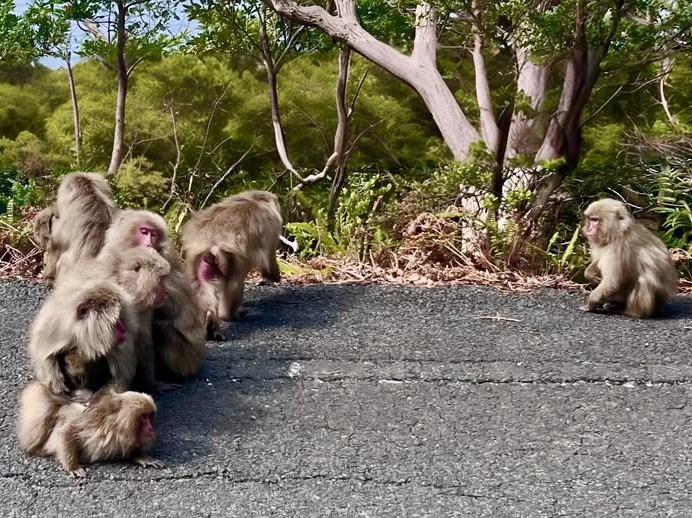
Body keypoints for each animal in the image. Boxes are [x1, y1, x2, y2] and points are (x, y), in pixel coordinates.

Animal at [17, 382, 162, 477]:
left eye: (150, 416)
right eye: (144, 417)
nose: (150, 428)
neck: (117, 424)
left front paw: (141, 457)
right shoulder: (93, 421)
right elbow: (68, 430)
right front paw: (72, 466)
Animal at [101, 209, 206, 379]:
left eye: (154, 234)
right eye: (144, 232)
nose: (149, 243)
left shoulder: (166, 256)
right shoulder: (110, 255)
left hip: (186, 357)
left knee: (162, 328)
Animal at [180, 190, 283, 337]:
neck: (254, 199)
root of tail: (211, 245)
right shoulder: (271, 225)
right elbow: (268, 258)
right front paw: (272, 277)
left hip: (200, 262)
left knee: (202, 286)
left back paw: (210, 321)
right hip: (229, 259)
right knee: (234, 283)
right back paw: (229, 315)